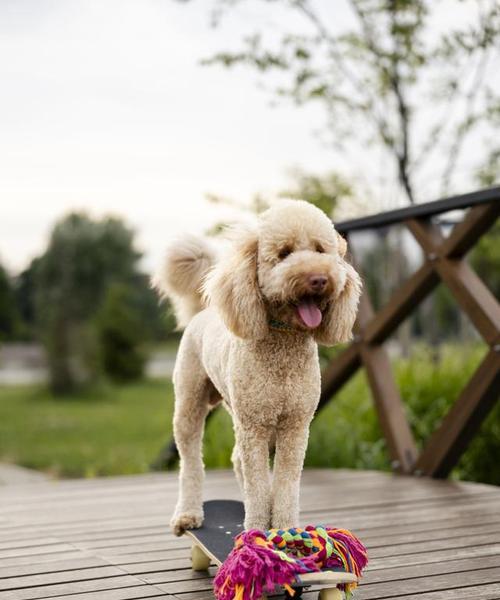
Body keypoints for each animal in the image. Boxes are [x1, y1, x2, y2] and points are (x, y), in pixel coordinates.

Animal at [154, 199, 362, 536]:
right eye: (284, 253)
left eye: (320, 250)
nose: (319, 279)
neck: (283, 347)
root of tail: (204, 310)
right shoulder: (255, 425)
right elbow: (259, 483)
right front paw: (256, 530)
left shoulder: (295, 425)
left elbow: (285, 483)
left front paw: (285, 529)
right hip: (189, 404)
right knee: (191, 462)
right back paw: (187, 514)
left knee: (238, 460)